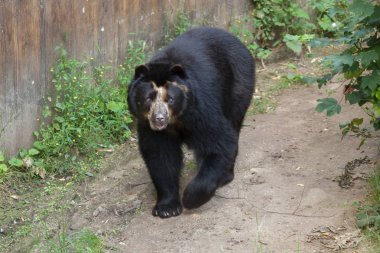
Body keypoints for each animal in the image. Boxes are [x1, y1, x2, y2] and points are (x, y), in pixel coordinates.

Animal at [127, 27, 255, 217]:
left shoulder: (201, 110)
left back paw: (225, 176)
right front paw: (167, 208)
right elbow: (160, 156)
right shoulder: (149, 126)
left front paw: (190, 198)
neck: (176, 120)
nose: (159, 119)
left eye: (170, 99)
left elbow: (218, 142)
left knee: (233, 123)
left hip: (239, 84)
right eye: (148, 98)